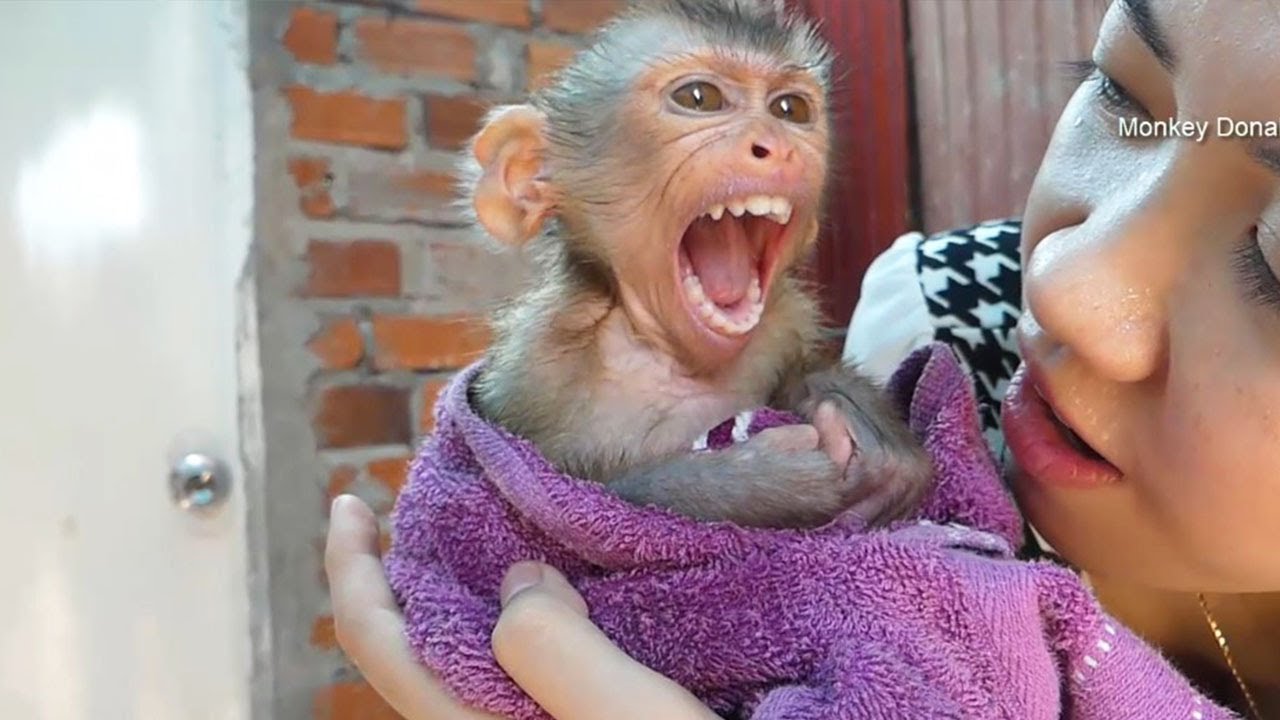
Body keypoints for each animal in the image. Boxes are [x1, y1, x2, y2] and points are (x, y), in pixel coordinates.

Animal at [456, 0, 932, 529]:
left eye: (790, 109)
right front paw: (759, 480)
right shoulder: (534, 373)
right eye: (700, 98)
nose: (778, 147)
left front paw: (861, 419)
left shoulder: (784, 323)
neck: (672, 354)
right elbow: (574, 496)